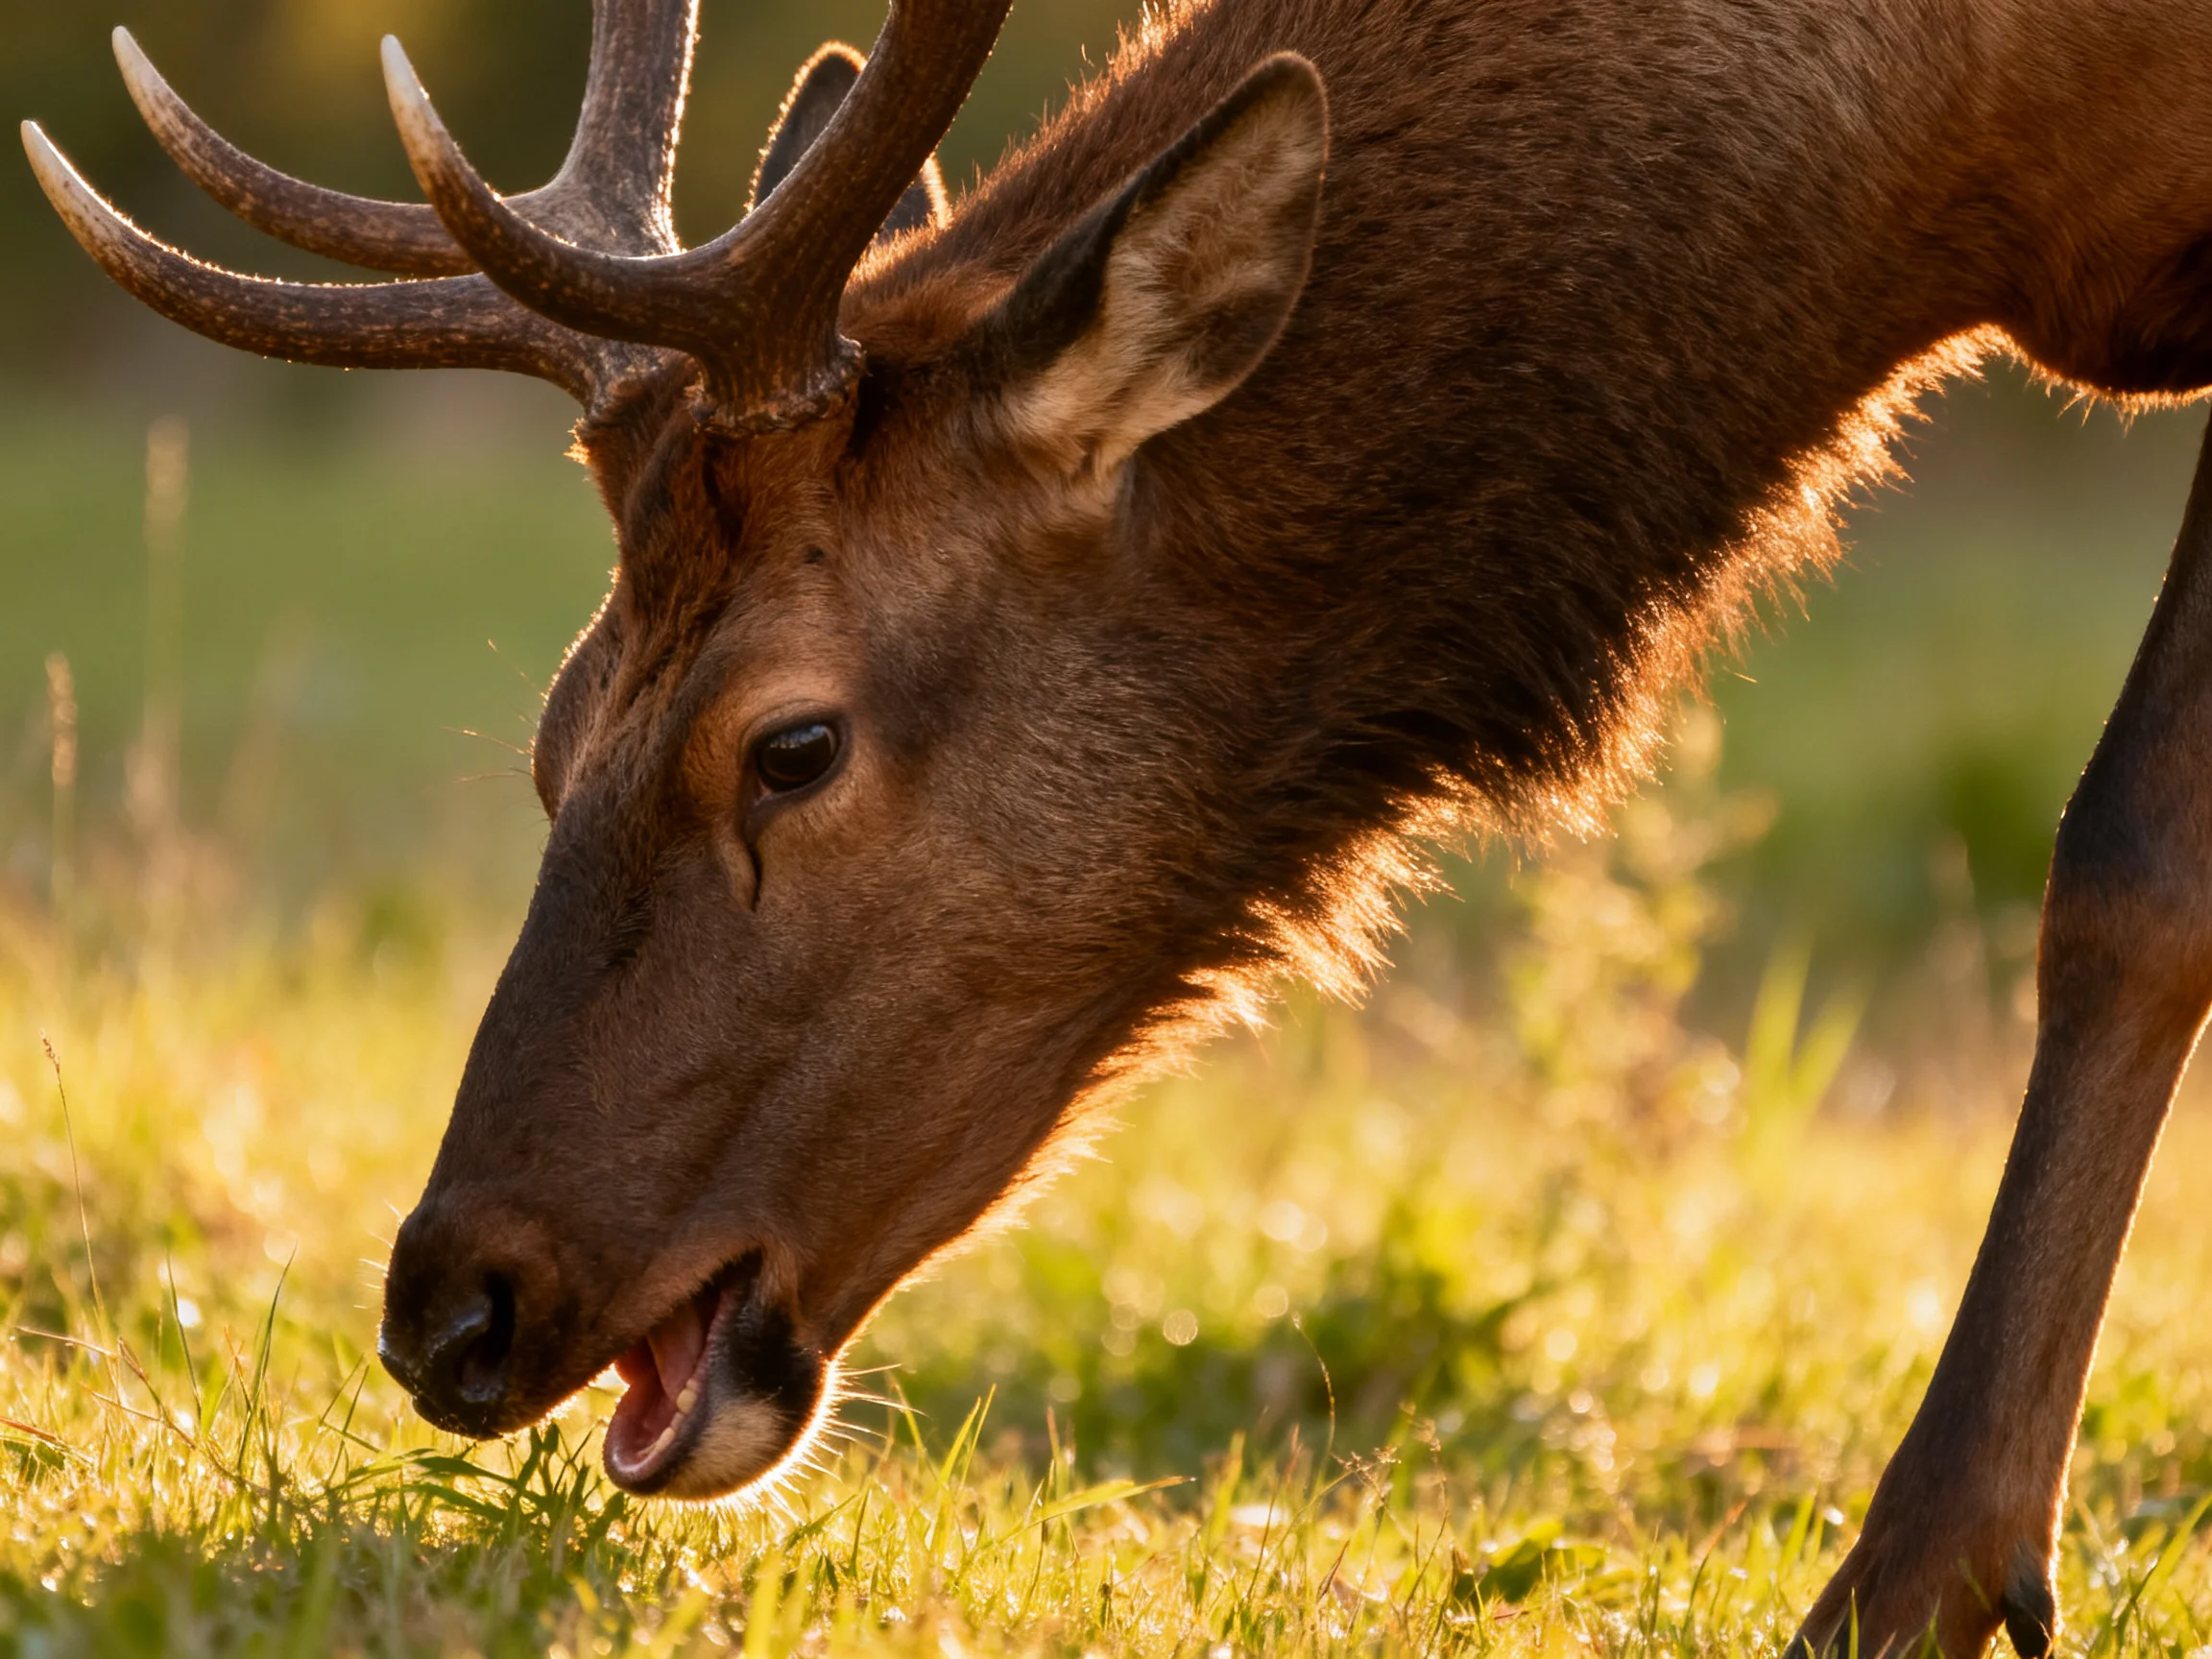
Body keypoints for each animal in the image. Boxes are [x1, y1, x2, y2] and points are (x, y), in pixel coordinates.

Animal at [23, 0, 2212, 1650]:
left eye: (790, 743)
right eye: (554, 733)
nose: (456, 1302)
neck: (1970, 148)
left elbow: (2128, 869)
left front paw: (1916, 1586)